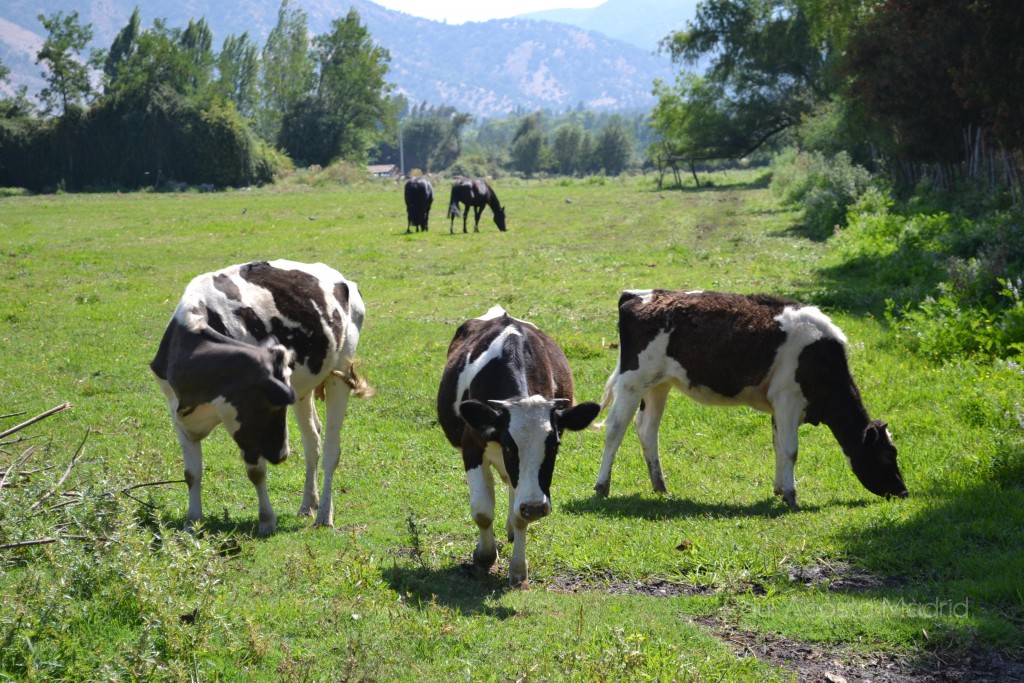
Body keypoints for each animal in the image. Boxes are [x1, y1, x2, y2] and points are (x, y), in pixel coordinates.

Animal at [149, 259, 374, 536]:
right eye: (271, 405)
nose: (281, 454)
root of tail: (340, 277)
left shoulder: (249, 427)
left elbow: (255, 471)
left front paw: (267, 521)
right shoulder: (178, 414)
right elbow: (191, 473)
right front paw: (192, 523)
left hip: (340, 371)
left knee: (332, 449)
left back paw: (324, 514)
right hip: (306, 385)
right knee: (312, 441)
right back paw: (308, 504)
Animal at [434, 307, 598, 585]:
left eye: (554, 446)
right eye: (509, 446)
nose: (535, 507)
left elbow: (520, 515)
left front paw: (519, 570)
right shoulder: (472, 446)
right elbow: (482, 511)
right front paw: (485, 557)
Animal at [598, 288, 909, 507]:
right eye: (888, 454)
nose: (903, 491)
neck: (821, 357)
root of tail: (636, 295)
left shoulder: (779, 406)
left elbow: (778, 446)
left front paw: (779, 490)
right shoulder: (789, 400)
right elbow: (791, 450)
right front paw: (791, 497)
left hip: (658, 385)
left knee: (647, 430)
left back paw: (660, 486)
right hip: (633, 381)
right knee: (615, 428)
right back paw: (602, 487)